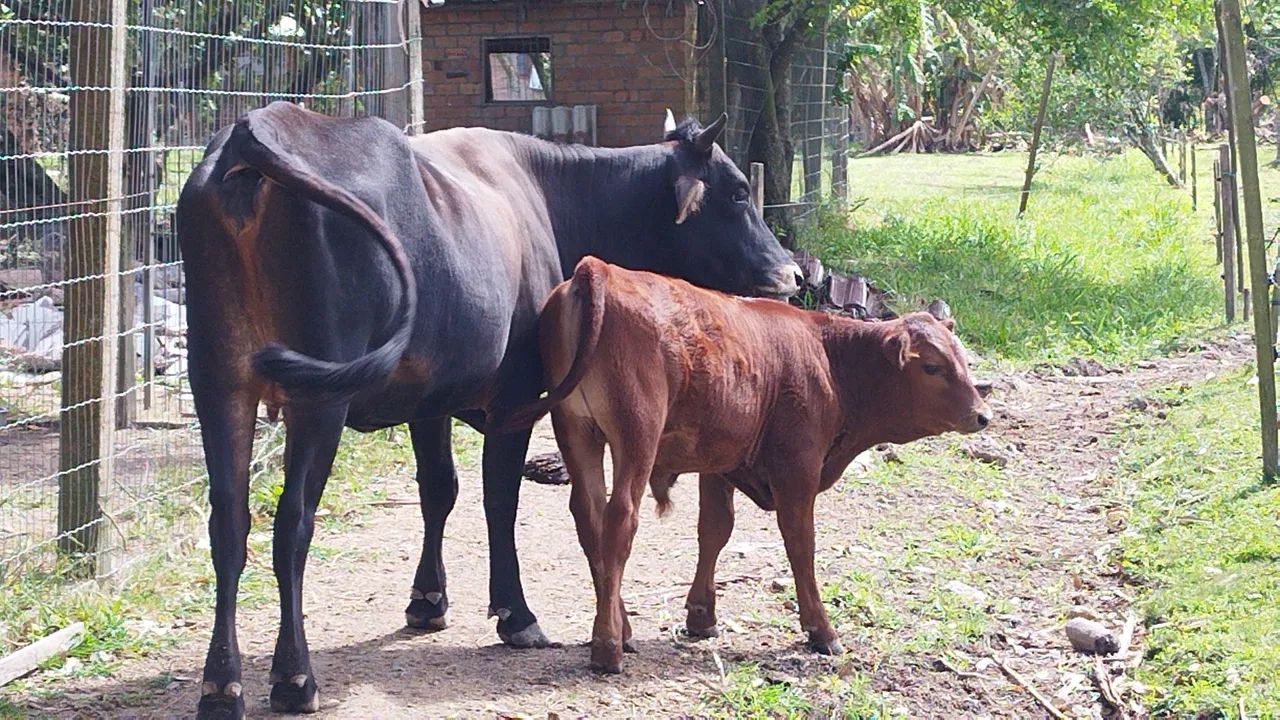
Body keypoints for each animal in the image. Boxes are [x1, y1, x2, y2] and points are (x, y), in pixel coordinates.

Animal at [176, 102, 799, 719]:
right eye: (737, 193)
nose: (792, 273)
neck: (546, 195)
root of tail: (255, 129)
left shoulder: (427, 398)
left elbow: (439, 489)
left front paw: (427, 600)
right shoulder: (517, 395)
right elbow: (500, 497)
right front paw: (515, 614)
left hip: (219, 386)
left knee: (229, 523)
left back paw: (221, 684)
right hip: (317, 400)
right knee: (292, 523)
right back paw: (294, 676)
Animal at [497, 257, 992, 674]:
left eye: (962, 359)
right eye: (932, 366)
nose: (981, 415)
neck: (828, 358)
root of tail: (599, 269)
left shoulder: (719, 463)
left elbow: (715, 530)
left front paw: (701, 616)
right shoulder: (798, 469)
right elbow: (801, 545)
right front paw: (821, 630)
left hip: (577, 431)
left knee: (590, 519)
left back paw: (623, 628)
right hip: (636, 435)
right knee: (620, 520)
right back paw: (608, 647)